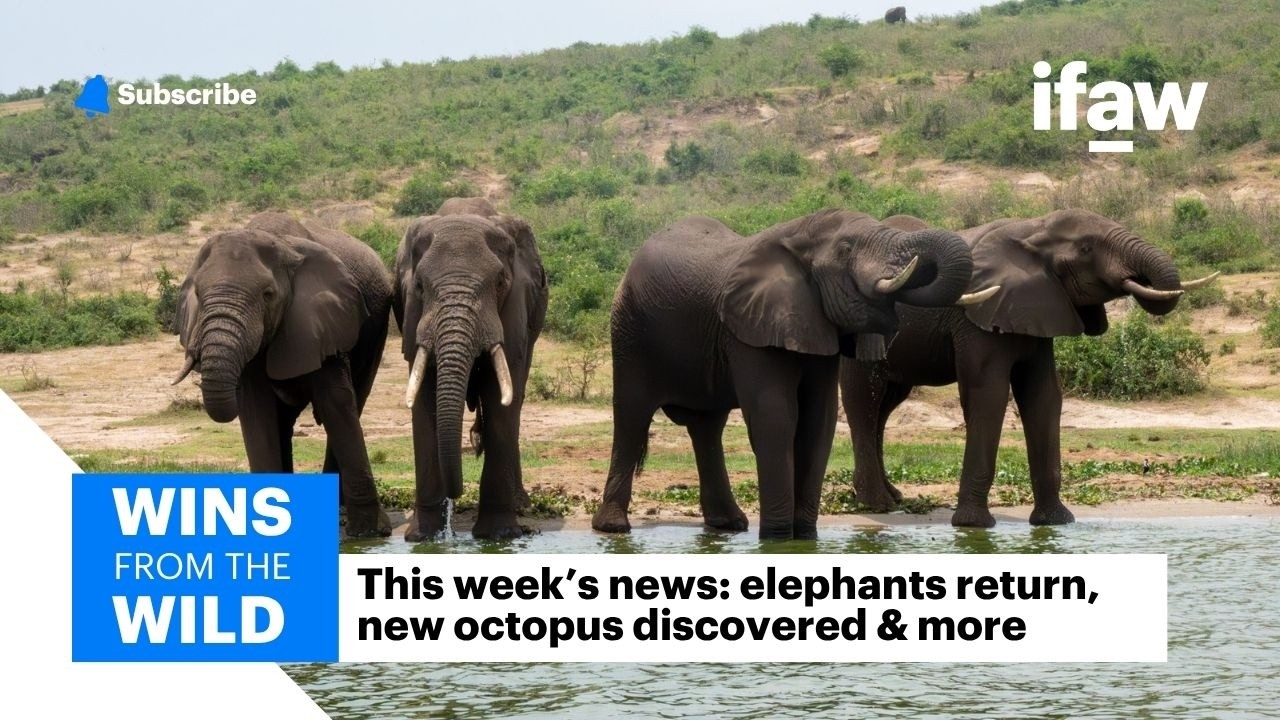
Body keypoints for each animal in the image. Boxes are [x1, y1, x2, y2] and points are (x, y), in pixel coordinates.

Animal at [172, 212, 394, 537]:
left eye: (268, 295)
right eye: (198, 294)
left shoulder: (322, 322)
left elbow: (336, 404)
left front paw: (370, 534)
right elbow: (257, 412)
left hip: (376, 330)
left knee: (354, 401)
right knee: (283, 423)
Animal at [394, 198, 547, 541]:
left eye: (501, 282)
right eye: (419, 286)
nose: (457, 494)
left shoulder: (515, 308)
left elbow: (500, 400)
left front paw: (499, 535)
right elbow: (423, 396)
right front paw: (423, 537)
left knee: (515, 399)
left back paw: (521, 505)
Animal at [591, 209, 988, 540]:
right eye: (846, 248)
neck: (797, 236)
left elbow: (818, 422)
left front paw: (805, 538)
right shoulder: (752, 328)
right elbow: (776, 417)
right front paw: (779, 538)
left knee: (707, 427)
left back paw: (729, 525)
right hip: (629, 330)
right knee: (632, 416)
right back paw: (614, 528)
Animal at [839, 209, 1219, 528]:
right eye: (1086, 248)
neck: (1034, 228)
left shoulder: (1040, 309)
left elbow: (1044, 396)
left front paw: (1056, 523)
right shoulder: (977, 319)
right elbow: (988, 394)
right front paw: (974, 526)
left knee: (885, 407)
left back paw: (892, 497)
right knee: (864, 400)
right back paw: (876, 504)